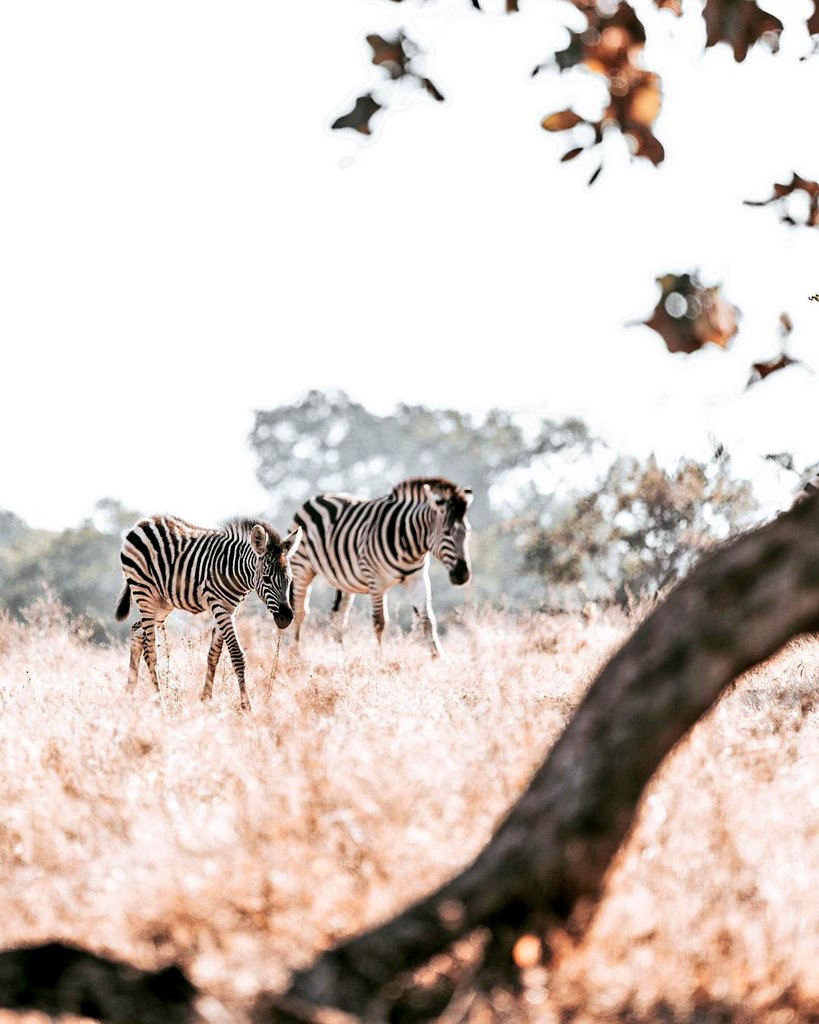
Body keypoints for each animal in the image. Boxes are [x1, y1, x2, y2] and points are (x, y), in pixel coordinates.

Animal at [115, 515, 302, 711]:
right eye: (266, 579)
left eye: (289, 579)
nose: (286, 618)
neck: (234, 569)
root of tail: (144, 522)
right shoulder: (219, 606)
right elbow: (237, 655)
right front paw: (246, 707)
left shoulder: (231, 609)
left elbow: (213, 655)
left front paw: (206, 701)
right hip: (145, 593)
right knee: (150, 649)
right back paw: (161, 704)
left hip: (162, 601)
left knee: (137, 632)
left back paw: (130, 695)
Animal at [289, 477, 473, 656]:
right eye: (446, 532)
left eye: (467, 531)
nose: (462, 575)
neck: (410, 543)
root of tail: (316, 497)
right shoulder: (375, 581)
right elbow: (379, 623)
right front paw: (379, 660)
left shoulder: (417, 579)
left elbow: (427, 620)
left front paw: (438, 658)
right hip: (301, 568)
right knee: (299, 612)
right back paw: (296, 657)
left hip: (342, 580)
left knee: (337, 618)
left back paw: (342, 658)